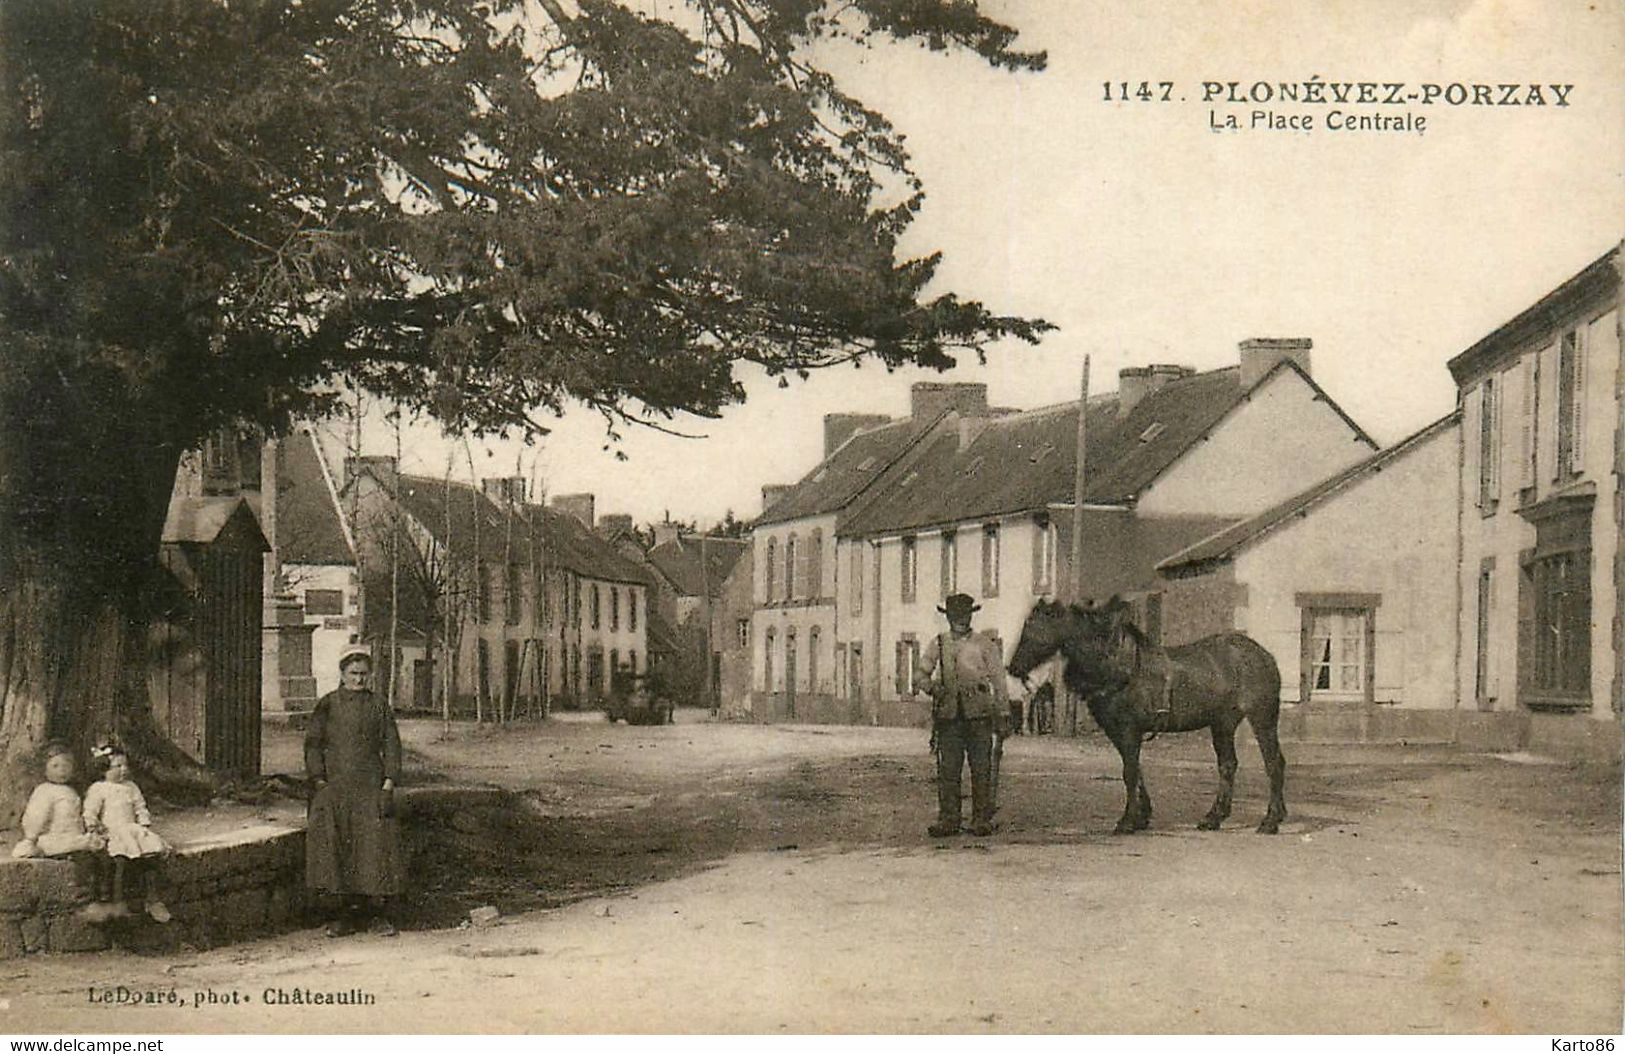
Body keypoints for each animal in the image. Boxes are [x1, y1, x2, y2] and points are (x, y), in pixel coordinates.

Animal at [1007, 597, 1287, 831]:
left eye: (1033, 629)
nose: (1013, 667)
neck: (1116, 665)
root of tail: (1266, 656)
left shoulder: (1128, 729)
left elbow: (1129, 773)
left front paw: (1128, 820)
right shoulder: (1118, 730)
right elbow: (1135, 769)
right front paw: (1142, 816)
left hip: (1262, 718)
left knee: (1274, 762)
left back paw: (1271, 820)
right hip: (1223, 724)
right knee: (1228, 766)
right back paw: (1214, 818)